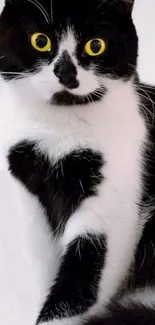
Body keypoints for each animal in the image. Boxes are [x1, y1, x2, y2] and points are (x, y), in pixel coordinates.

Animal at [0, 0, 155, 324]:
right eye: (40, 41)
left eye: (95, 45)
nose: (65, 72)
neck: (60, 130)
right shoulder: (29, 190)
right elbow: (47, 266)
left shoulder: (110, 208)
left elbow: (80, 282)